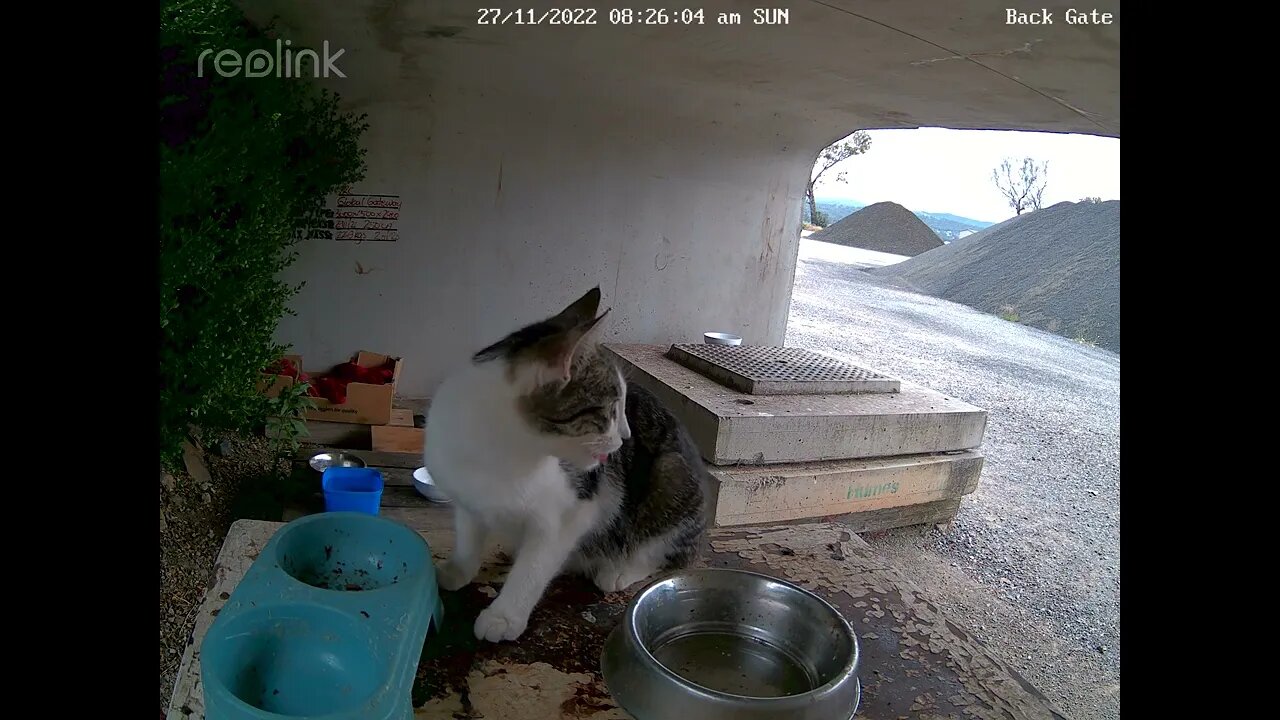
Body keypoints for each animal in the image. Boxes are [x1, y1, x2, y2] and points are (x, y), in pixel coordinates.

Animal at [424, 284, 716, 638]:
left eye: (623, 406)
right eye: (611, 409)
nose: (626, 436)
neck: (500, 453)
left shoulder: (571, 512)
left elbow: (535, 567)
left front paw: (504, 616)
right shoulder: (466, 498)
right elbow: (468, 536)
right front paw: (457, 569)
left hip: (671, 476)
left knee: (668, 551)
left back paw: (620, 569)